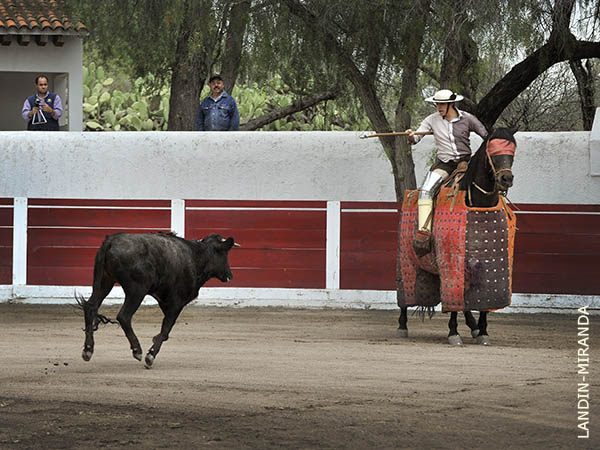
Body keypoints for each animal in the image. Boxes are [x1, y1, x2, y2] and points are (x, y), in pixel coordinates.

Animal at [398, 128, 516, 346]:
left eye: (512, 150)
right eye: (492, 151)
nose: (506, 179)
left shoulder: (488, 266)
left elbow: (482, 300)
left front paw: (483, 332)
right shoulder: (452, 262)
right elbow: (452, 298)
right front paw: (454, 333)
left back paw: (474, 327)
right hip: (406, 260)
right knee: (405, 294)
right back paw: (402, 326)